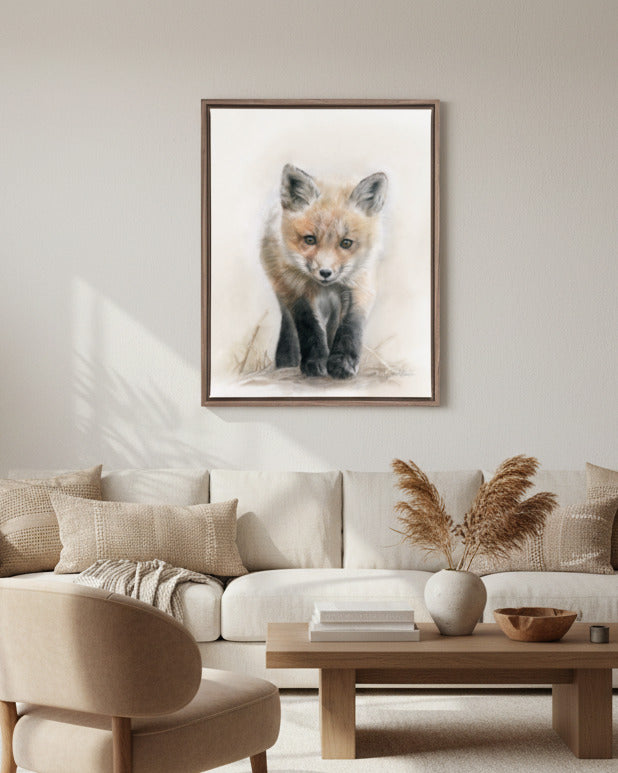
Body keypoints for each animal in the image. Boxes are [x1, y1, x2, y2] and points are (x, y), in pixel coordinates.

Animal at [260, 163, 388, 379]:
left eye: (346, 243)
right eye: (310, 239)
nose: (325, 273)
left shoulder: (360, 284)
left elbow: (350, 326)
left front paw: (342, 363)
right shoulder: (296, 288)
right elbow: (309, 325)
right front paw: (315, 362)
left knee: (333, 324)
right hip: (280, 282)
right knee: (289, 323)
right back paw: (287, 359)